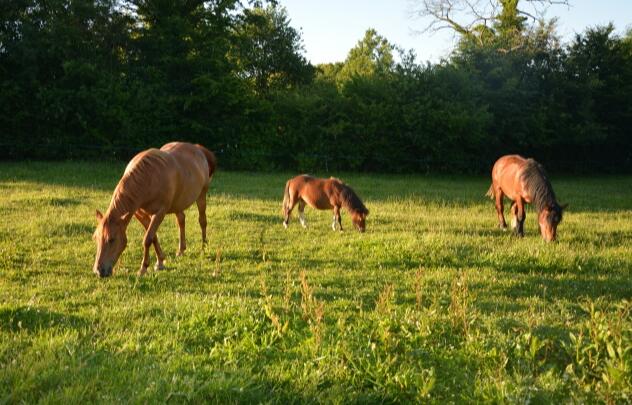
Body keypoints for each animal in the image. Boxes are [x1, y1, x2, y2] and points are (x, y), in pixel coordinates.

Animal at [90, 140, 215, 276]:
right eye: (96, 238)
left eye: (111, 239)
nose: (99, 271)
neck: (148, 178)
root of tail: (198, 149)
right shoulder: (139, 213)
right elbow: (153, 236)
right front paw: (160, 262)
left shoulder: (160, 212)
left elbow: (147, 238)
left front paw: (144, 268)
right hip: (178, 203)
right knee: (181, 220)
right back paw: (181, 250)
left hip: (202, 195)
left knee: (202, 220)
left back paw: (204, 248)